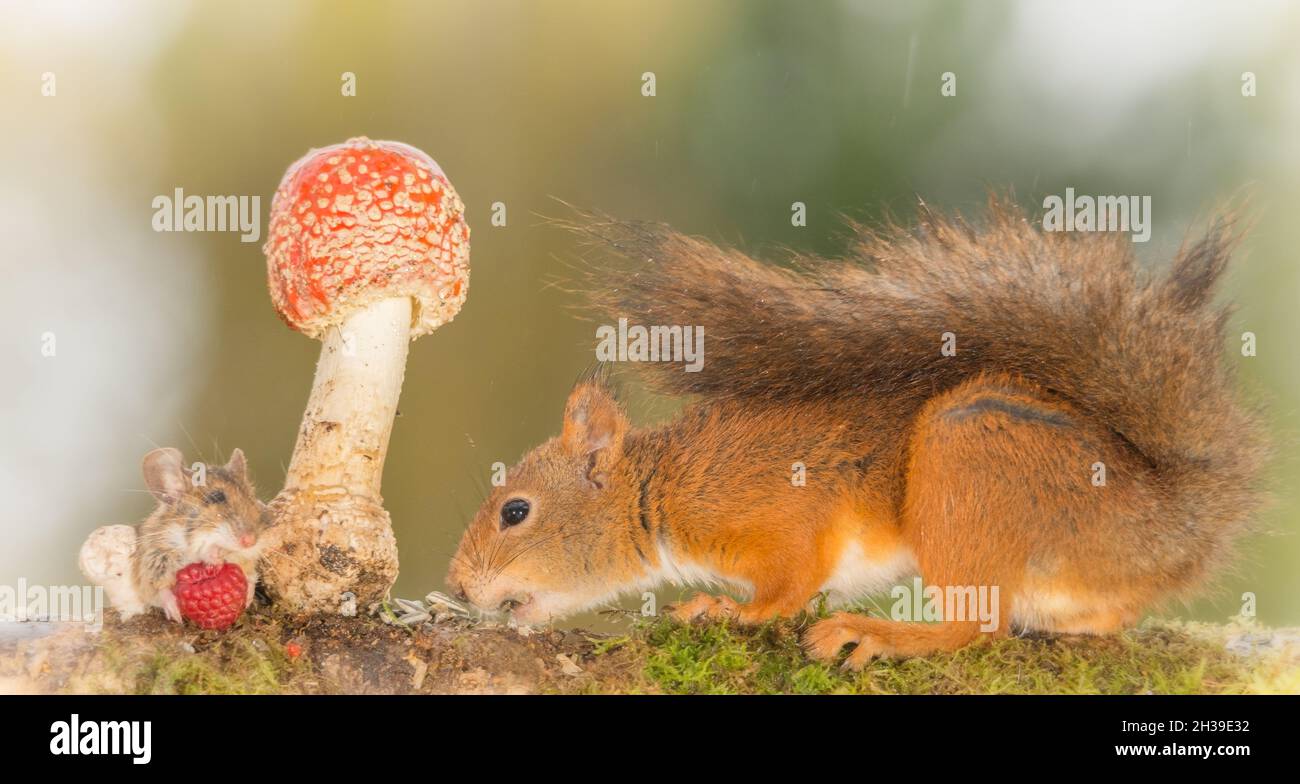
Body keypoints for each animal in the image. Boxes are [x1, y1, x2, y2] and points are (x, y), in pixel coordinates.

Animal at [447, 199, 1269, 667]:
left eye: (515, 511)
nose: (456, 586)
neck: (665, 489)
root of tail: (1169, 525)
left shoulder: (776, 515)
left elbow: (791, 583)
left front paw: (729, 610)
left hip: (967, 461)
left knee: (976, 629)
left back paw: (875, 634)